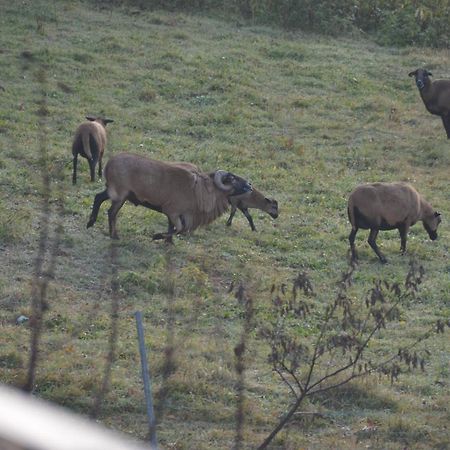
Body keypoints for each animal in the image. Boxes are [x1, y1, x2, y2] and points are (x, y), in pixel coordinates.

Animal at [85, 152, 251, 243]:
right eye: (233, 179)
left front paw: (169, 242)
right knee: (111, 213)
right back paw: (114, 235)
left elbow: (174, 228)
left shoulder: (177, 215)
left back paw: (90, 223)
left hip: (114, 192)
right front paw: (157, 236)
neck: (200, 191)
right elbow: (179, 229)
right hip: (120, 195)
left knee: (98, 198)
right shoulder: (173, 211)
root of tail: (109, 164)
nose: (249, 184)